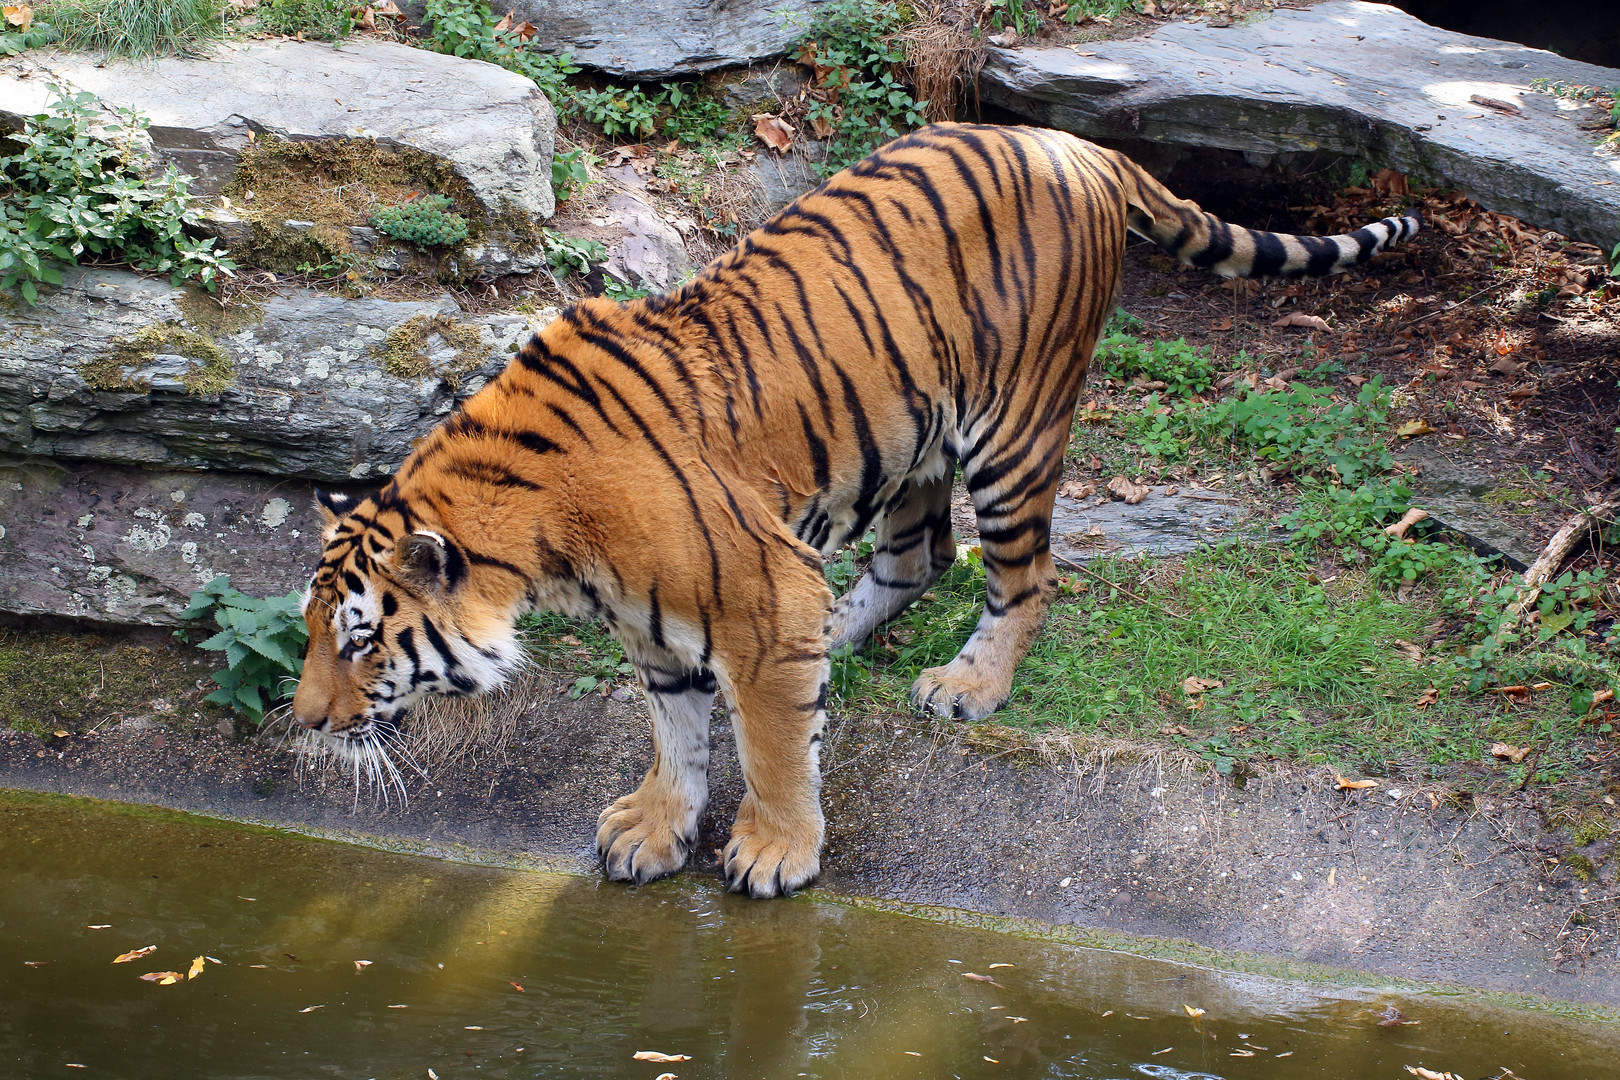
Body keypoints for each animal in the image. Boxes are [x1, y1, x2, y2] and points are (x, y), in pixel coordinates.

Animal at [294, 122, 1419, 900]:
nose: (301, 722)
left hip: (1013, 432)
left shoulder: (754, 583)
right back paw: (836, 637)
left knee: (1022, 575)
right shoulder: (658, 624)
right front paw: (658, 828)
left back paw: (969, 684)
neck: (543, 546)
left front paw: (775, 849)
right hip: (908, 431)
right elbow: (677, 727)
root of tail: (1081, 145)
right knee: (918, 558)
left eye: (361, 640)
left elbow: (772, 748)